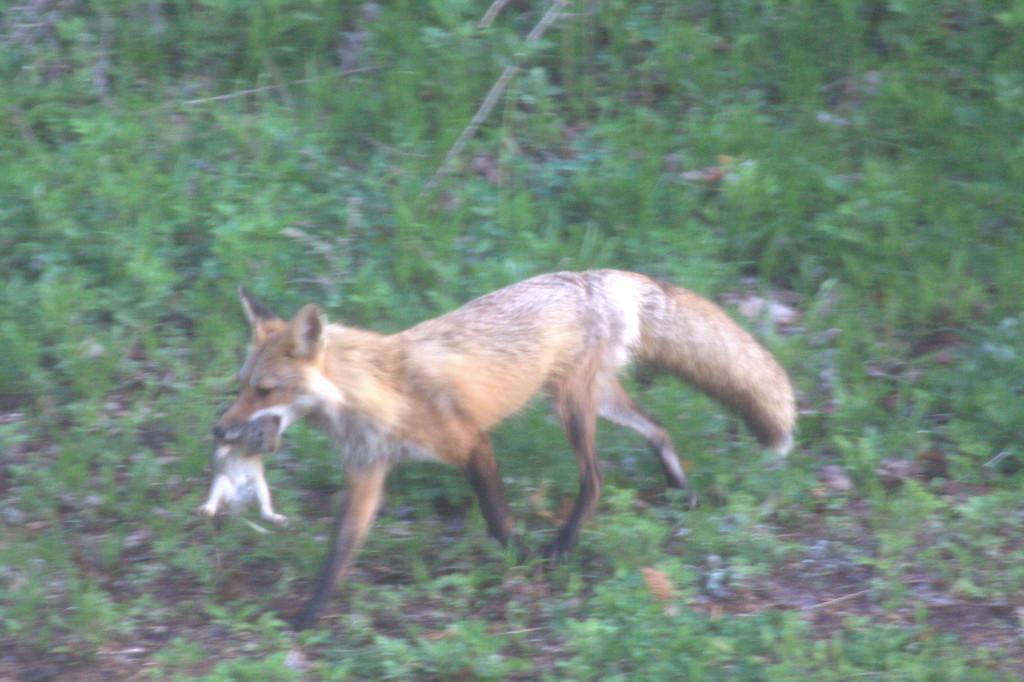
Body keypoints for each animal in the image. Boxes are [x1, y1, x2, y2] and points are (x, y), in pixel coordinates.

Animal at [210, 269, 796, 630]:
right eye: (239, 386)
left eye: (265, 390)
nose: (219, 430)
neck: (376, 392)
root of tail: (599, 276)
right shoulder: (367, 476)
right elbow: (337, 554)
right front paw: (308, 616)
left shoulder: (471, 443)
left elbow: (496, 518)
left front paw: (523, 560)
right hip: (598, 397)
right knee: (660, 428)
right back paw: (679, 490)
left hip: (570, 406)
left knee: (597, 476)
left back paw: (564, 546)